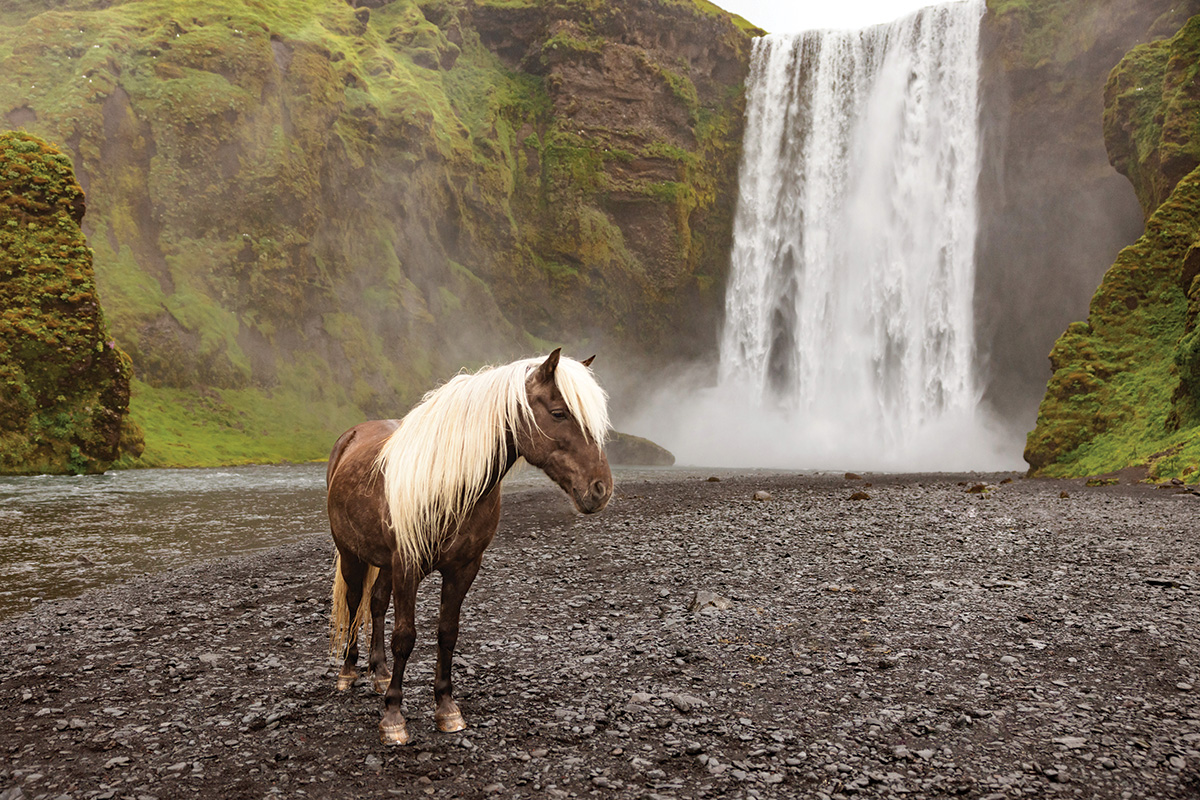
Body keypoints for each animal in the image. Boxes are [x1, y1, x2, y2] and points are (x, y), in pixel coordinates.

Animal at [324, 349, 613, 745]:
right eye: (558, 413)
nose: (601, 490)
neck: (449, 482)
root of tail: (350, 437)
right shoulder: (408, 566)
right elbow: (405, 637)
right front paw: (393, 717)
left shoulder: (463, 567)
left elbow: (448, 634)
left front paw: (447, 709)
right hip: (352, 555)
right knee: (355, 605)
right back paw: (349, 673)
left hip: (384, 563)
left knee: (377, 602)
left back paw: (379, 672)